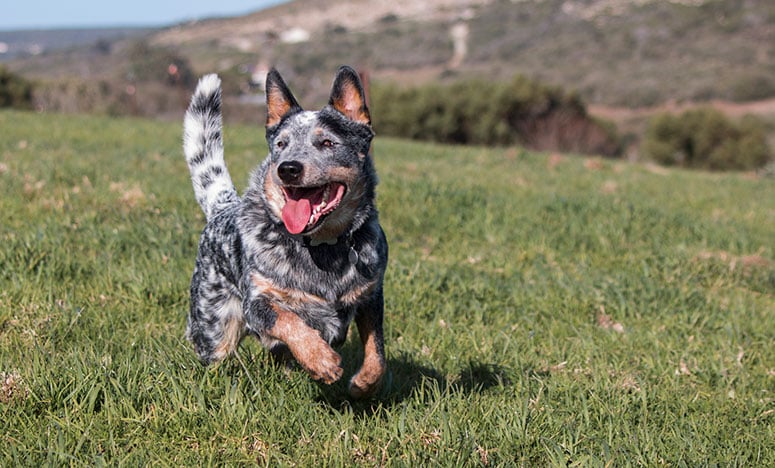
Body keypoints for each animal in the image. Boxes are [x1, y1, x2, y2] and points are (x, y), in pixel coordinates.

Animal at [182, 66, 388, 396]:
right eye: (281, 144)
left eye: (327, 143)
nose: (288, 168)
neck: (323, 248)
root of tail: (223, 207)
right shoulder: (257, 301)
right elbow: (289, 320)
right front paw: (320, 360)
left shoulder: (371, 295)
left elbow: (377, 352)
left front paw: (363, 384)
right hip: (214, 327)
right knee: (218, 354)